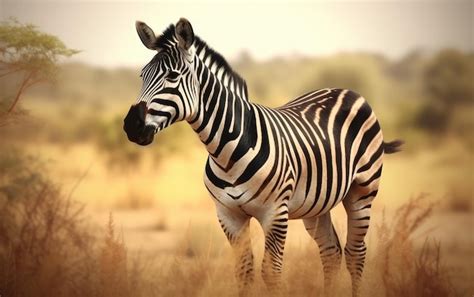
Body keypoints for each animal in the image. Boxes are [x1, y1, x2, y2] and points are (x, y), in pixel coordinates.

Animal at [123, 17, 404, 294]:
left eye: (172, 76)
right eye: (142, 75)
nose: (131, 126)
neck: (227, 152)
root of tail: (347, 91)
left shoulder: (275, 213)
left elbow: (271, 273)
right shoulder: (228, 215)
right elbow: (244, 272)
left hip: (362, 191)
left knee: (356, 254)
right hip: (316, 204)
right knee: (331, 252)